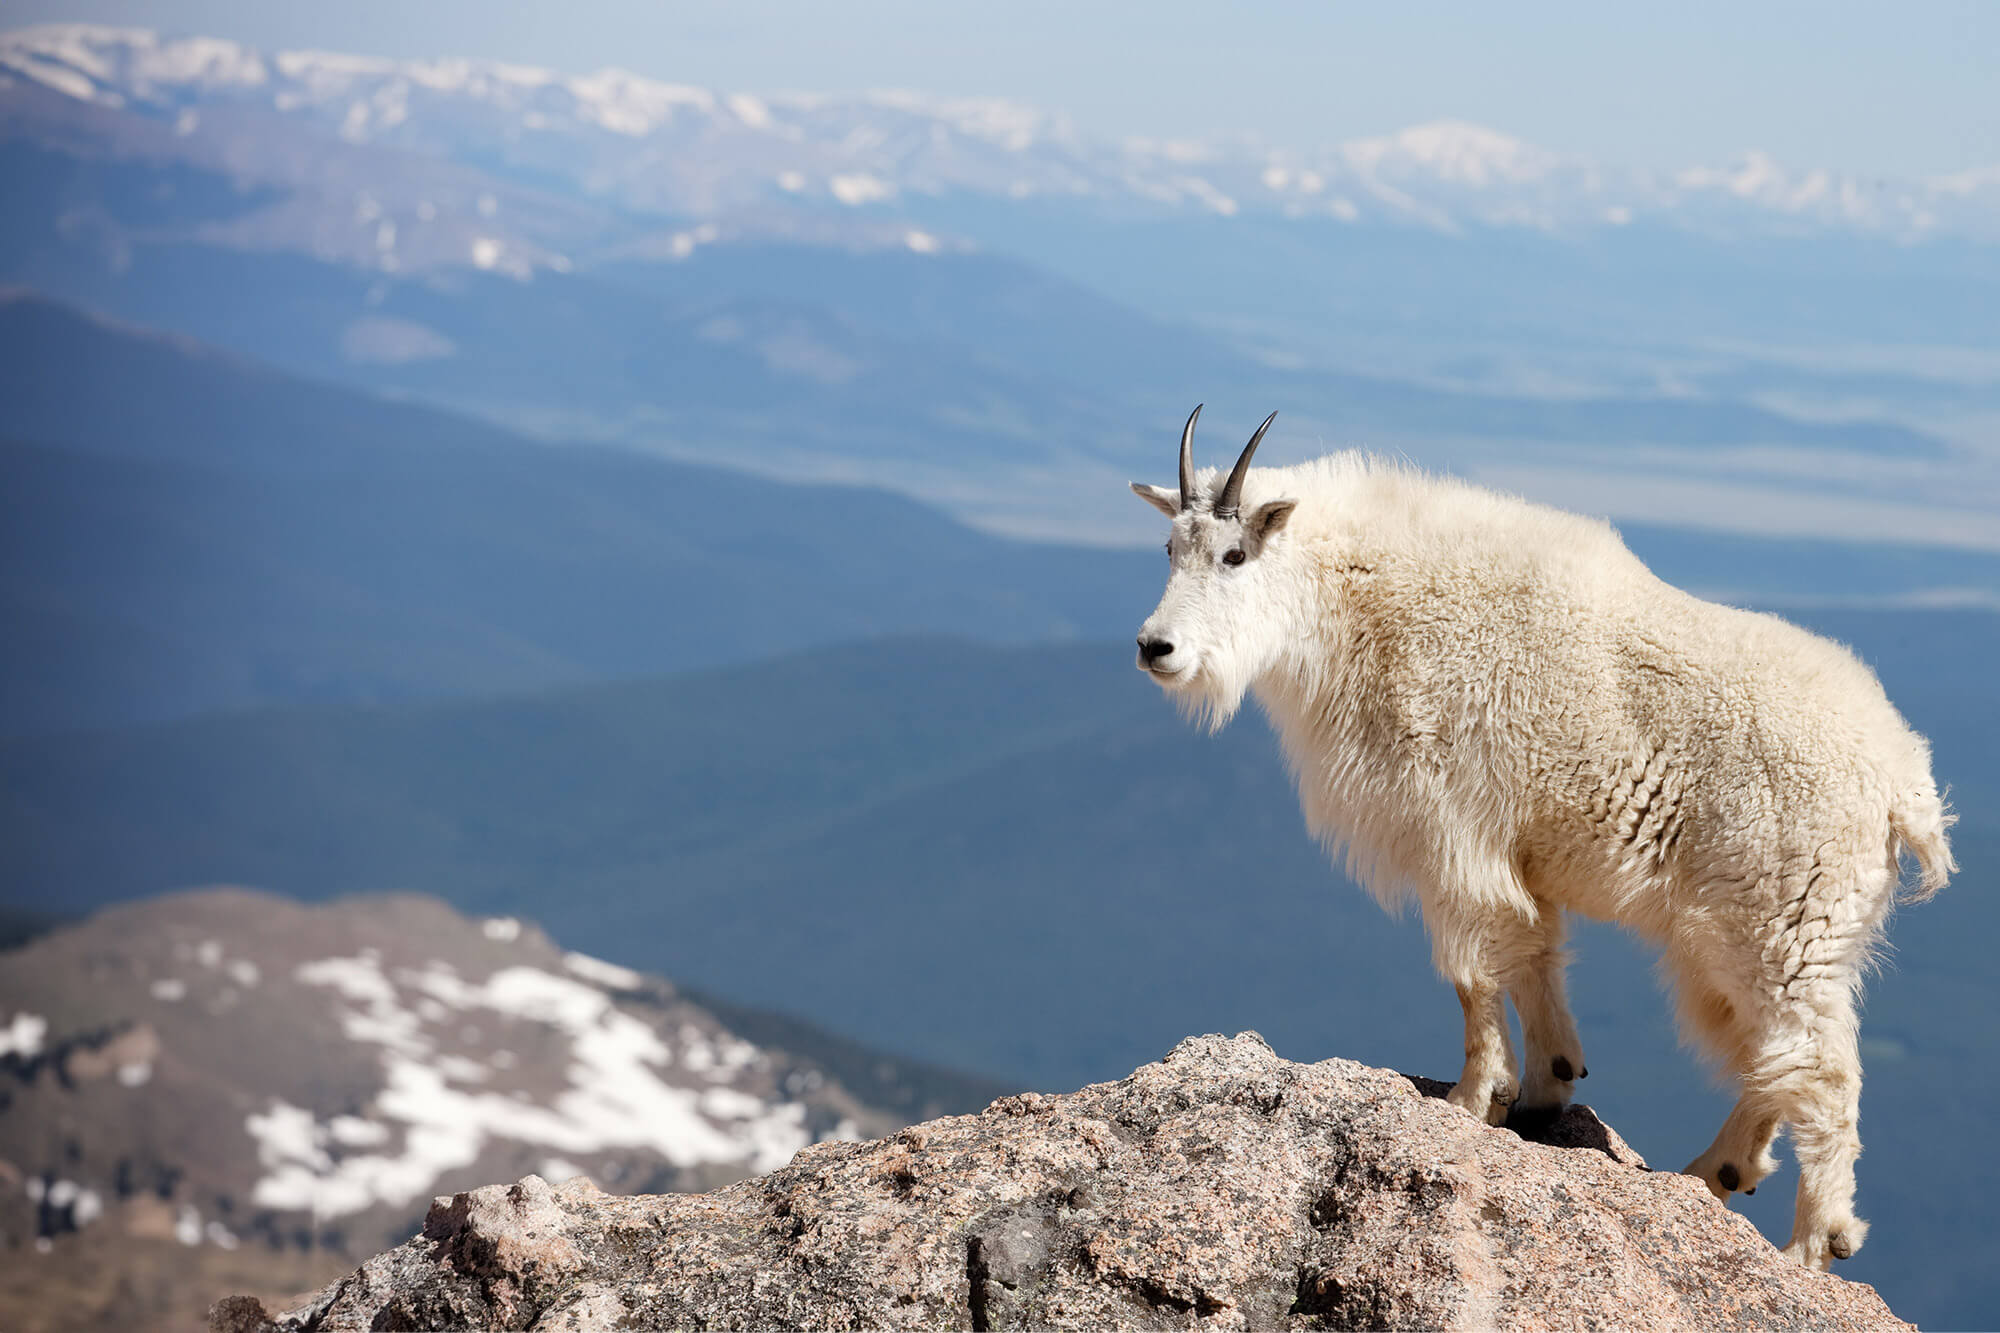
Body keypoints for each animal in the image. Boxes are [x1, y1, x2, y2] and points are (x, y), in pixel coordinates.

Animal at [1131, 407, 1955, 1269]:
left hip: (1784, 923)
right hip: (1782, 936)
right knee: (1777, 1058)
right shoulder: (1508, 852)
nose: (1156, 648)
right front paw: (1547, 1083)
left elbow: (1472, 967)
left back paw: (1809, 1244)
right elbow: (1533, 950)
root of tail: (1905, 786)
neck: (1356, 596)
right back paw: (1718, 1170)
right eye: (1169, 549)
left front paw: (1473, 1099)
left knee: (1820, 1071)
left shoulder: (1451, 832)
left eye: (1234, 554)